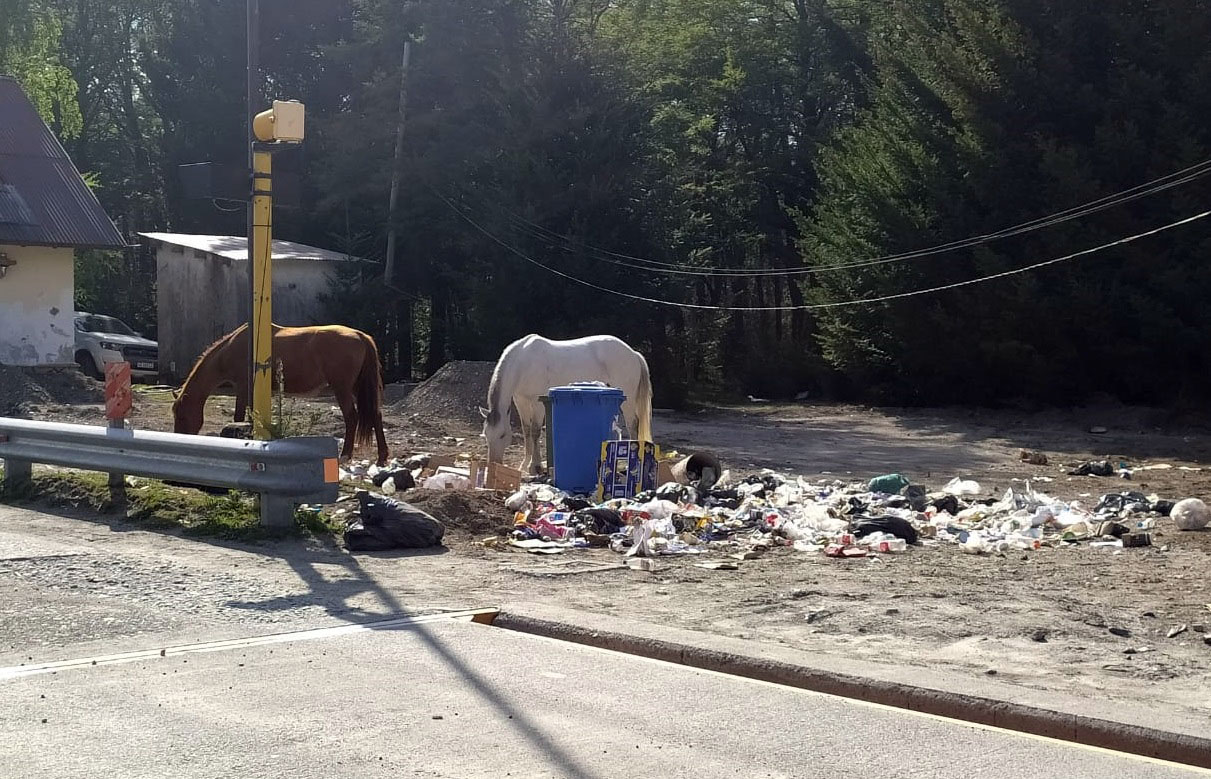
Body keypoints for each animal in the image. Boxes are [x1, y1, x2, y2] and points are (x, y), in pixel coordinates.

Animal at [170, 322, 385, 462]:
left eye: (182, 415)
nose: (179, 436)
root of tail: (360, 335)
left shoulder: (243, 388)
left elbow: (238, 416)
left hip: (342, 388)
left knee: (351, 417)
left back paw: (345, 455)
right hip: (357, 387)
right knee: (375, 414)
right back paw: (382, 457)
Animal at [481, 334, 653, 472]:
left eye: (502, 435)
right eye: (486, 435)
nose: (493, 464)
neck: (523, 362)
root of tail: (633, 353)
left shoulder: (536, 402)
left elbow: (535, 431)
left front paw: (534, 466)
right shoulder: (521, 400)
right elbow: (526, 431)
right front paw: (524, 465)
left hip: (628, 401)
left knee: (632, 425)